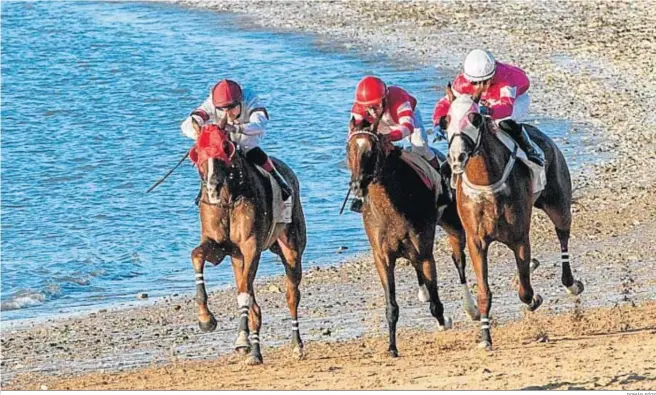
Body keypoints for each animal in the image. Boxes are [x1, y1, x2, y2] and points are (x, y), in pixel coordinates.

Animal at [187, 123, 304, 366]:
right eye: (197, 151)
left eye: (225, 147)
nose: (212, 186)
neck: (228, 198)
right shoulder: (220, 246)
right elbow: (197, 255)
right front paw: (205, 318)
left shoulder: (251, 247)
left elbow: (244, 293)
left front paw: (241, 339)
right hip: (237, 259)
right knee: (255, 305)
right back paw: (256, 353)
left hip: (291, 247)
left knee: (292, 295)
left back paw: (296, 345)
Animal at [346, 119, 480, 358]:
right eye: (348, 149)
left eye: (371, 151)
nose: (357, 185)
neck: (392, 205)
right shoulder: (382, 258)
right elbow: (391, 306)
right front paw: (392, 347)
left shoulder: (425, 251)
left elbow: (436, 301)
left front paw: (443, 321)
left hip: (455, 228)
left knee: (459, 262)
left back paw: (471, 308)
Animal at [444, 86, 588, 350]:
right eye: (446, 120)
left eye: (475, 118)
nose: (457, 156)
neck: (488, 186)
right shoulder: (476, 242)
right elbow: (485, 293)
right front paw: (485, 338)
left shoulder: (520, 238)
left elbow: (526, 291)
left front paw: (534, 300)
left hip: (558, 205)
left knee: (563, 237)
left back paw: (572, 284)